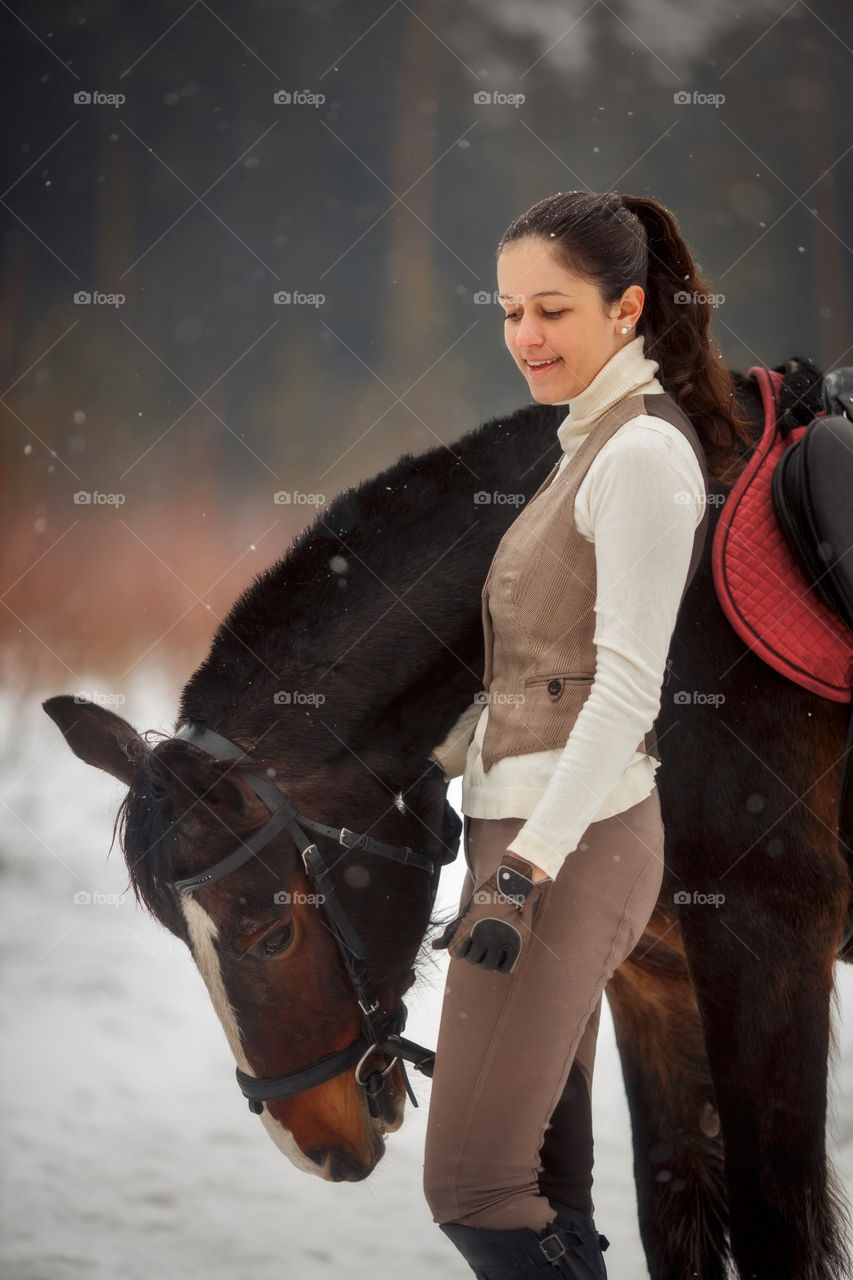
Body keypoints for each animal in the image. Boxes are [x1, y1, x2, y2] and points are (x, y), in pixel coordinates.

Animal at [44, 355, 850, 1274]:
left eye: (270, 935)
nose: (314, 1147)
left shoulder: (769, 940)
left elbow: (772, 1228)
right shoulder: (651, 975)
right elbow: (668, 1210)